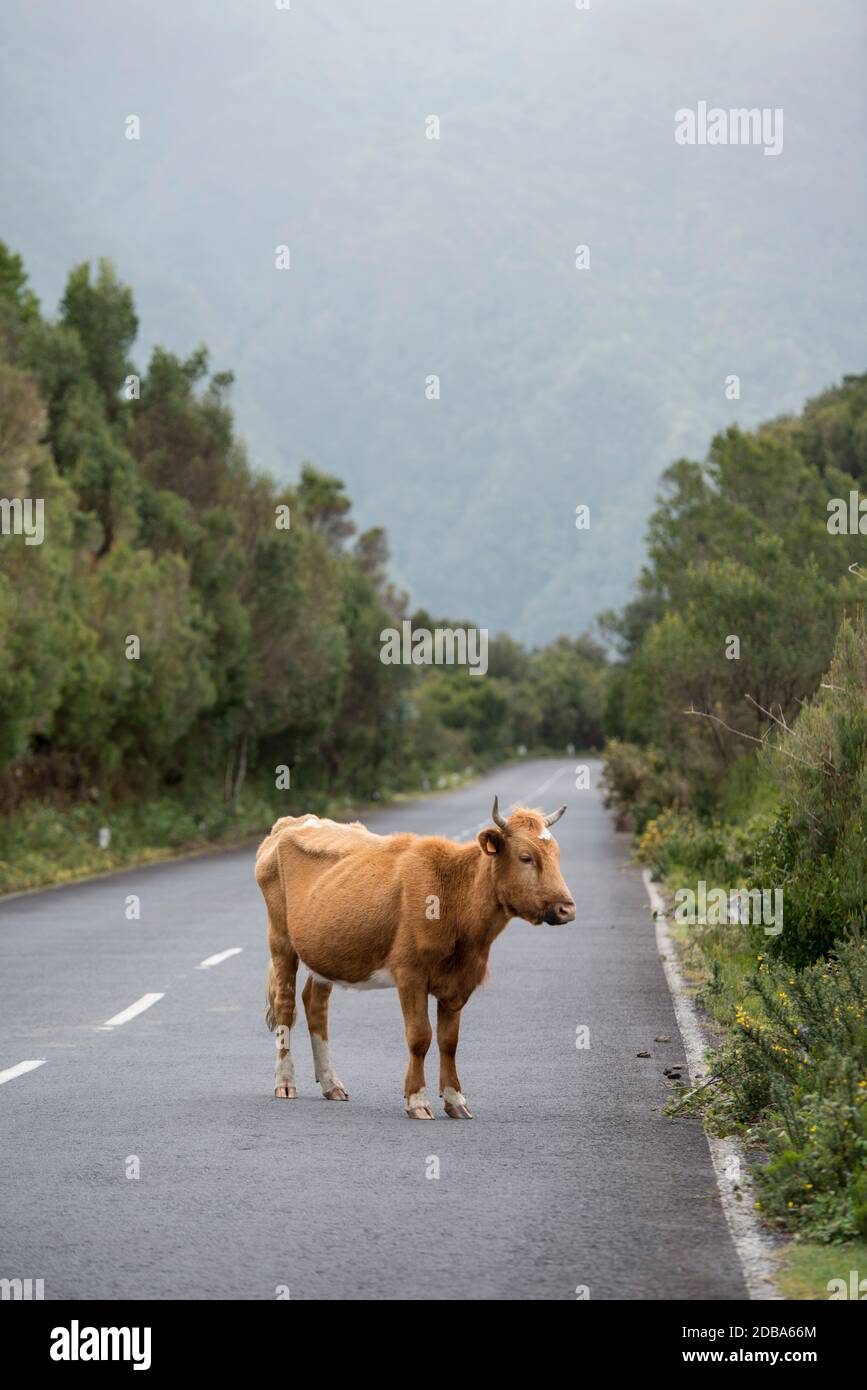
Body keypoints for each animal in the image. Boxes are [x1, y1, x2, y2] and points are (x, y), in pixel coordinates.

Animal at [254, 800, 572, 1112]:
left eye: (556, 855)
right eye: (525, 857)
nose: (566, 908)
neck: (453, 894)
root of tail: (291, 822)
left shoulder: (460, 979)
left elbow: (449, 1040)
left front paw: (455, 1099)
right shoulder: (410, 974)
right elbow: (420, 1036)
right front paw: (417, 1099)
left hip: (323, 953)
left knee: (316, 1005)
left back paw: (331, 1083)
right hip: (280, 939)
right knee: (285, 1004)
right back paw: (285, 1082)